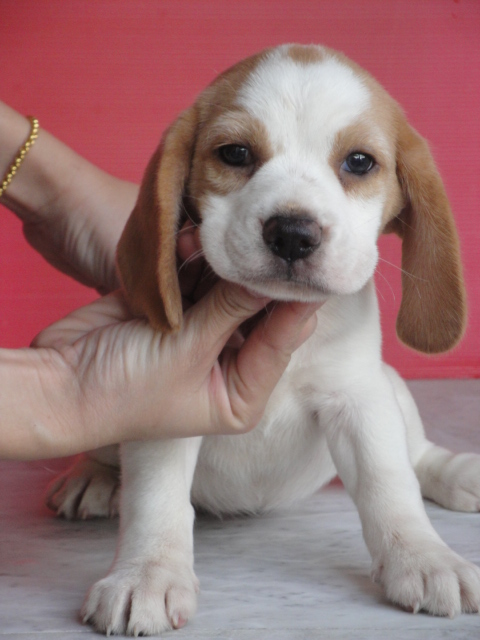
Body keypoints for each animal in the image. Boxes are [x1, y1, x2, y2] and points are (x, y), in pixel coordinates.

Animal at [46, 44, 480, 635]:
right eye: (235, 153)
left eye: (359, 162)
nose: (293, 234)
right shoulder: (167, 405)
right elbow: (156, 500)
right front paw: (146, 574)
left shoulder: (360, 399)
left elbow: (389, 484)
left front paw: (424, 556)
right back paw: (93, 476)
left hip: (391, 386)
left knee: (416, 453)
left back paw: (455, 472)